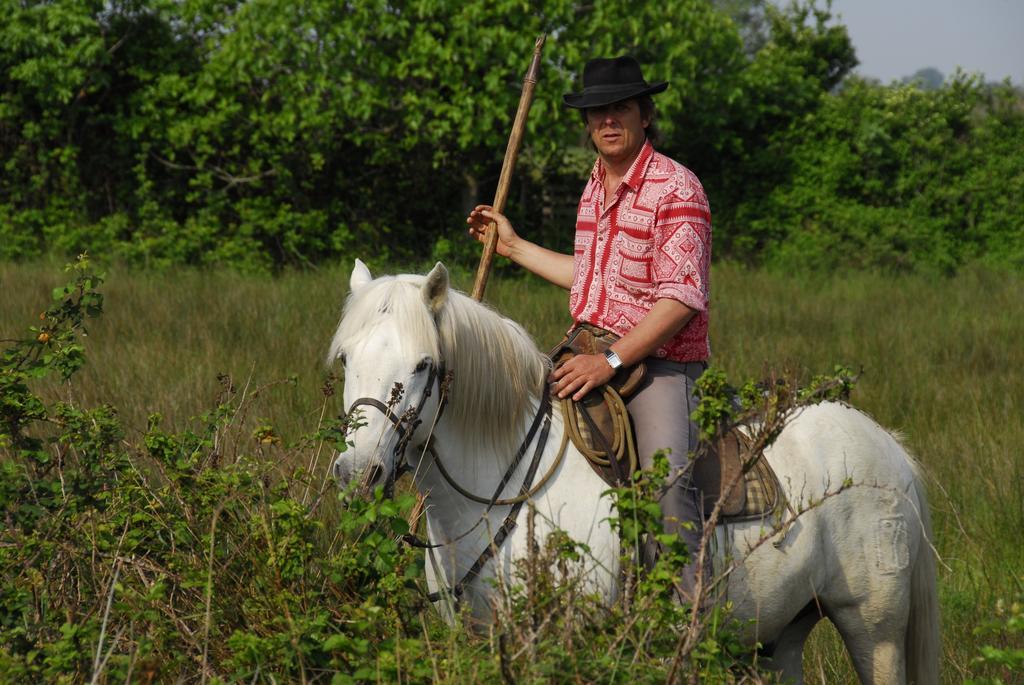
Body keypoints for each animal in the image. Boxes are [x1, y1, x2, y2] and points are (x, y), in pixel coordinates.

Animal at [331, 259, 937, 679]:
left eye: (423, 364)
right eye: (346, 359)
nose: (358, 473)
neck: (498, 493)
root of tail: (890, 447)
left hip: (875, 629)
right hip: (782, 634)